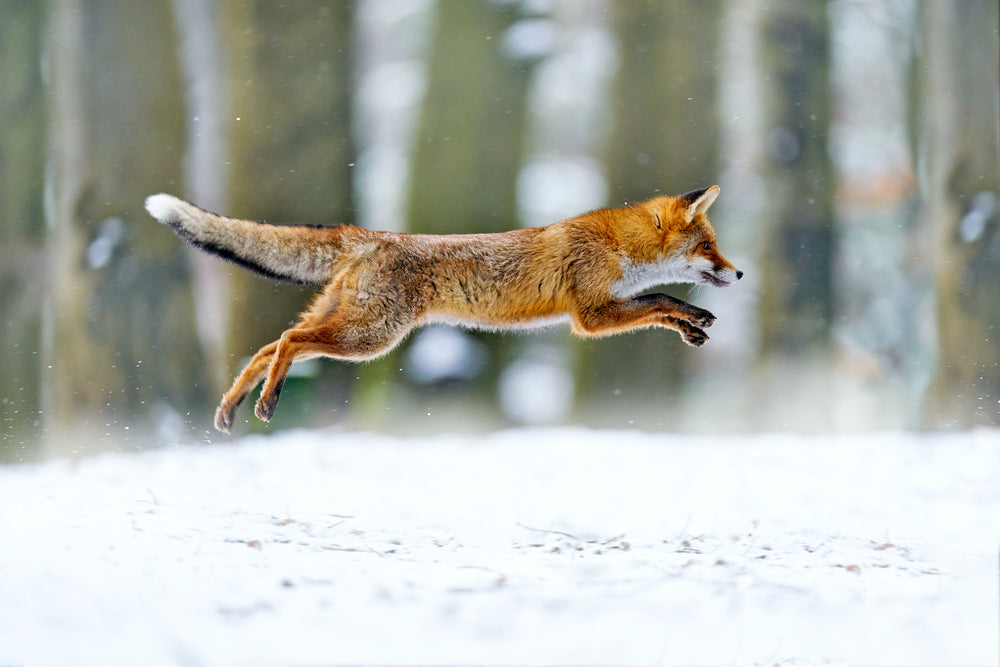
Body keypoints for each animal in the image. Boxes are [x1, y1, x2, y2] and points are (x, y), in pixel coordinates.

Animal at [145, 186, 742, 433]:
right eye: (709, 246)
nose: (738, 274)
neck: (619, 247)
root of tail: (372, 236)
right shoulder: (590, 316)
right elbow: (661, 298)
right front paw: (693, 317)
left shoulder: (605, 307)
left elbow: (661, 305)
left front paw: (694, 328)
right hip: (368, 338)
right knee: (288, 343)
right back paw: (266, 403)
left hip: (349, 327)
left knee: (269, 346)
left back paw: (232, 406)